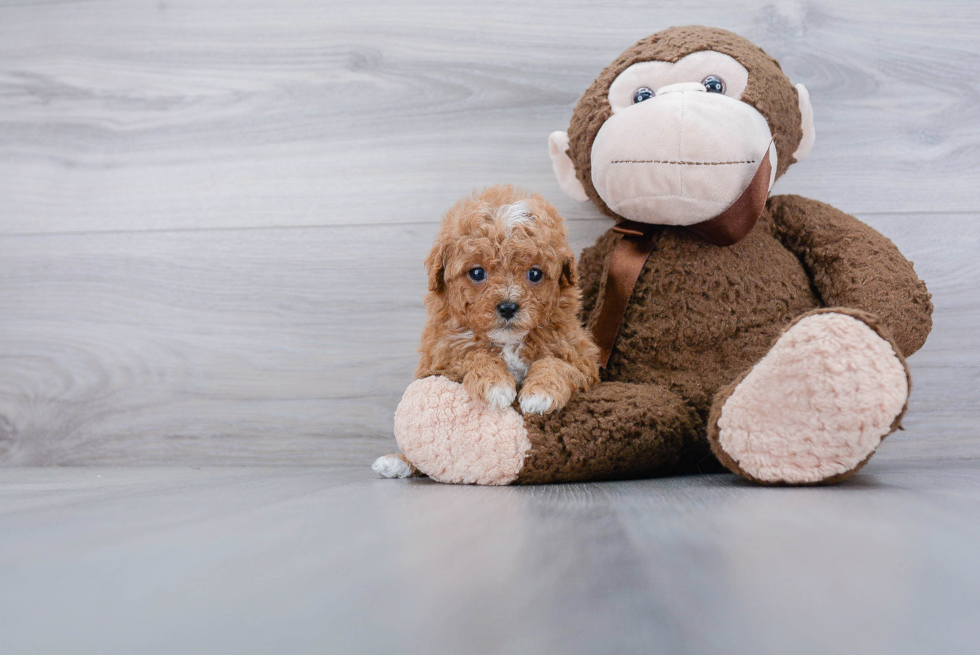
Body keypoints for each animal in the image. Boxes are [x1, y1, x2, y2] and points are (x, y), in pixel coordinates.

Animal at [414, 184, 596, 416]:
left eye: (535, 274)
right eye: (477, 273)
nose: (508, 307)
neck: (508, 342)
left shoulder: (581, 354)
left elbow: (559, 363)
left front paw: (541, 392)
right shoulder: (438, 359)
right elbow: (471, 353)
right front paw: (495, 383)